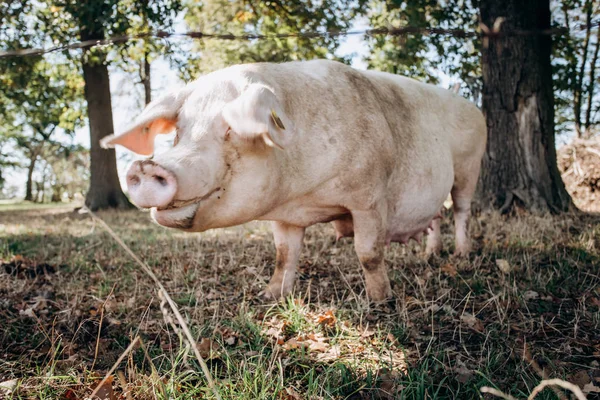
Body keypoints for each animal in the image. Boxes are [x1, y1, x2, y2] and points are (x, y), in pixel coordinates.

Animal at [102, 59, 488, 302]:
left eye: (230, 129)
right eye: (179, 131)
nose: (146, 167)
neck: (303, 196)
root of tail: (473, 107)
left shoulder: (370, 196)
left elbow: (368, 253)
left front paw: (380, 302)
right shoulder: (285, 216)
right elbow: (283, 255)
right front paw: (270, 296)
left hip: (469, 167)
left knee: (461, 210)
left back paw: (462, 255)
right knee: (437, 215)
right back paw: (431, 256)